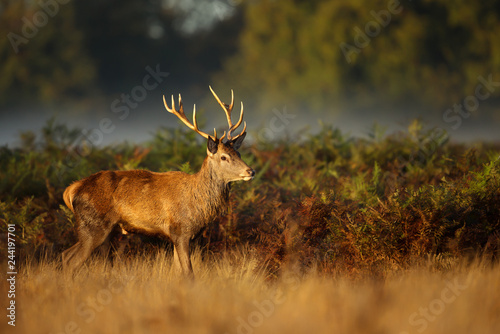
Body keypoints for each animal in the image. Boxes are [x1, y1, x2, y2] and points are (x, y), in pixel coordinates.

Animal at [61, 86, 254, 276]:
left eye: (238, 153)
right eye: (223, 157)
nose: (250, 171)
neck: (198, 205)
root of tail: (71, 190)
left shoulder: (182, 236)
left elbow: (178, 272)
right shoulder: (180, 231)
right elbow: (189, 273)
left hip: (100, 231)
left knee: (66, 254)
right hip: (93, 226)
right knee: (71, 260)